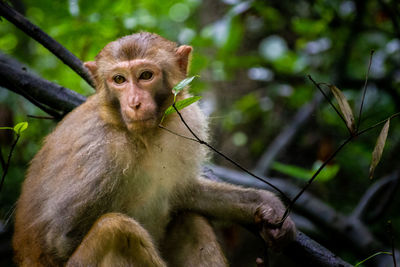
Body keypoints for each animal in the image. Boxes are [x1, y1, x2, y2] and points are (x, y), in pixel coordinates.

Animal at [12, 32, 296, 266]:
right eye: (119, 80)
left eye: (145, 76)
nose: (134, 103)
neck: (140, 135)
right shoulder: (101, 154)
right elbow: (61, 238)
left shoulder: (184, 123)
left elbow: (184, 195)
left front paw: (266, 205)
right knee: (115, 229)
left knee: (189, 218)